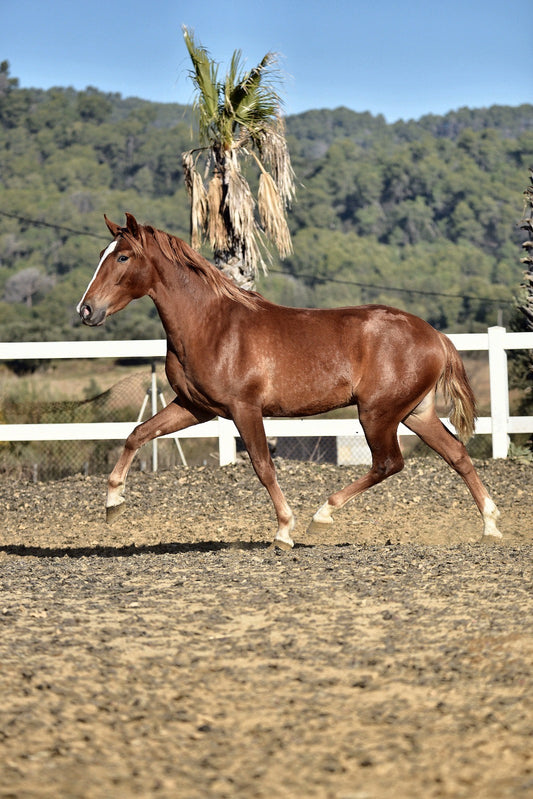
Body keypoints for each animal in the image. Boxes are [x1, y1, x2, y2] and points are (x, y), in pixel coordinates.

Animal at [77, 213, 502, 548]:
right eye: (100, 254)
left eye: (122, 256)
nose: (86, 310)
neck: (211, 325)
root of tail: (435, 336)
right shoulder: (196, 407)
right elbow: (137, 434)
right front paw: (113, 505)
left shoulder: (244, 408)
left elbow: (264, 466)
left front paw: (284, 531)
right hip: (416, 412)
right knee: (456, 454)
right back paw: (491, 527)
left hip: (377, 414)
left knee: (389, 463)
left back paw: (322, 515)